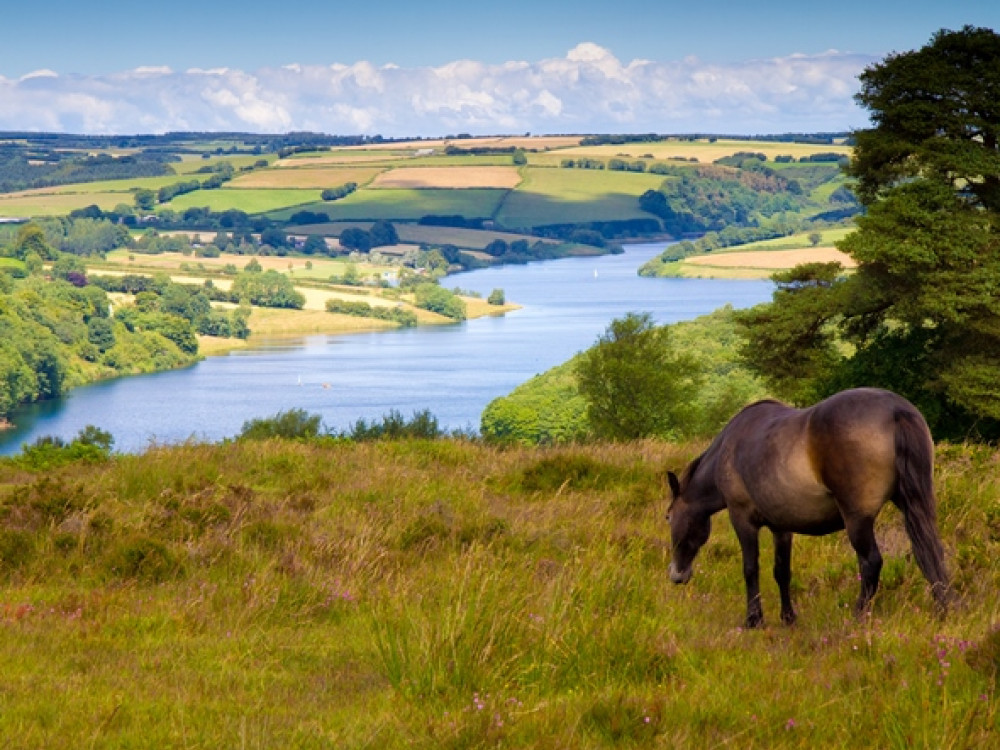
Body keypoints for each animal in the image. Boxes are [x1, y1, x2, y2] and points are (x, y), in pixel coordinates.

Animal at [668, 388, 948, 628]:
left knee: (871, 563)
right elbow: (782, 571)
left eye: (668, 516)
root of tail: (895, 410)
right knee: (930, 552)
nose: (677, 575)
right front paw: (788, 617)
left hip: (857, 520)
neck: (730, 447)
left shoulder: (742, 519)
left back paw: (858, 615)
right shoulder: (781, 527)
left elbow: (750, 569)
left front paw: (754, 619)